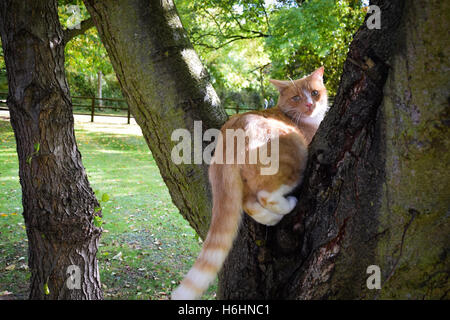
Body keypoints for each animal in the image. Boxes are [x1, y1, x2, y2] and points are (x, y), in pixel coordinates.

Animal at [172, 66, 326, 298]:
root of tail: (228, 136)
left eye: (315, 93)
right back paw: (287, 205)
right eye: (297, 97)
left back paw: (272, 218)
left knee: (249, 203)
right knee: (266, 195)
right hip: (294, 155)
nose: (310, 104)